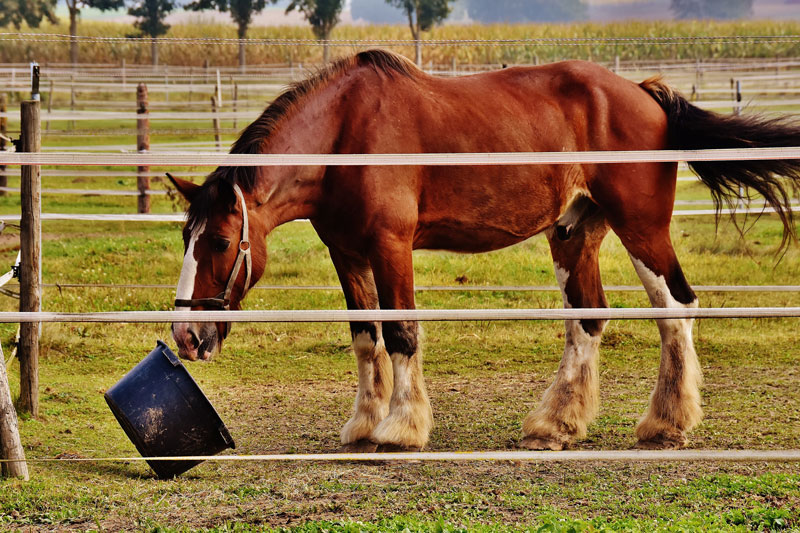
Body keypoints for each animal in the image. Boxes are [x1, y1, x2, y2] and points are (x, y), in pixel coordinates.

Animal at [168, 49, 800, 452]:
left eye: (219, 241)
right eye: (184, 238)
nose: (186, 336)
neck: (345, 134)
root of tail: (645, 94)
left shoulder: (390, 245)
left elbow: (400, 333)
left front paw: (402, 428)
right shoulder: (346, 253)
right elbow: (365, 337)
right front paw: (363, 423)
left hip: (641, 227)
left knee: (675, 309)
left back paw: (666, 423)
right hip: (575, 233)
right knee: (589, 319)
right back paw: (555, 425)